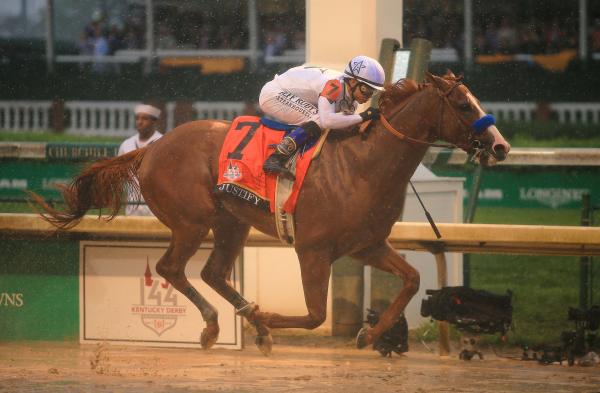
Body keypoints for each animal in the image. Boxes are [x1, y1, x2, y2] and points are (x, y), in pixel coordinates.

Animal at [30, 71, 510, 356]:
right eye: (464, 105)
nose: (502, 146)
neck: (363, 163)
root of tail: (153, 147)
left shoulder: (366, 244)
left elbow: (410, 280)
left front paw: (370, 334)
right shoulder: (313, 250)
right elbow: (315, 315)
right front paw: (264, 319)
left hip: (231, 221)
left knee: (213, 273)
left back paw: (241, 324)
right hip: (191, 221)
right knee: (171, 269)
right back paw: (216, 326)